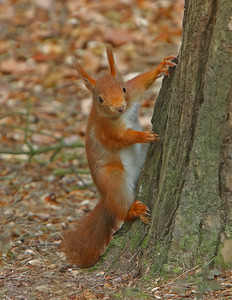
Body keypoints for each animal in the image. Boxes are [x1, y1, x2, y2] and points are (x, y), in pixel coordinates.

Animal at [61, 45, 176, 268]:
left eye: (122, 88)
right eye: (100, 99)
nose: (120, 107)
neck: (120, 115)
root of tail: (105, 198)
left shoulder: (133, 94)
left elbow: (140, 82)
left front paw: (161, 66)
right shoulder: (106, 130)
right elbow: (122, 138)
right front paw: (143, 135)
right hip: (113, 177)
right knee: (122, 209)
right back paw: (133, 211)